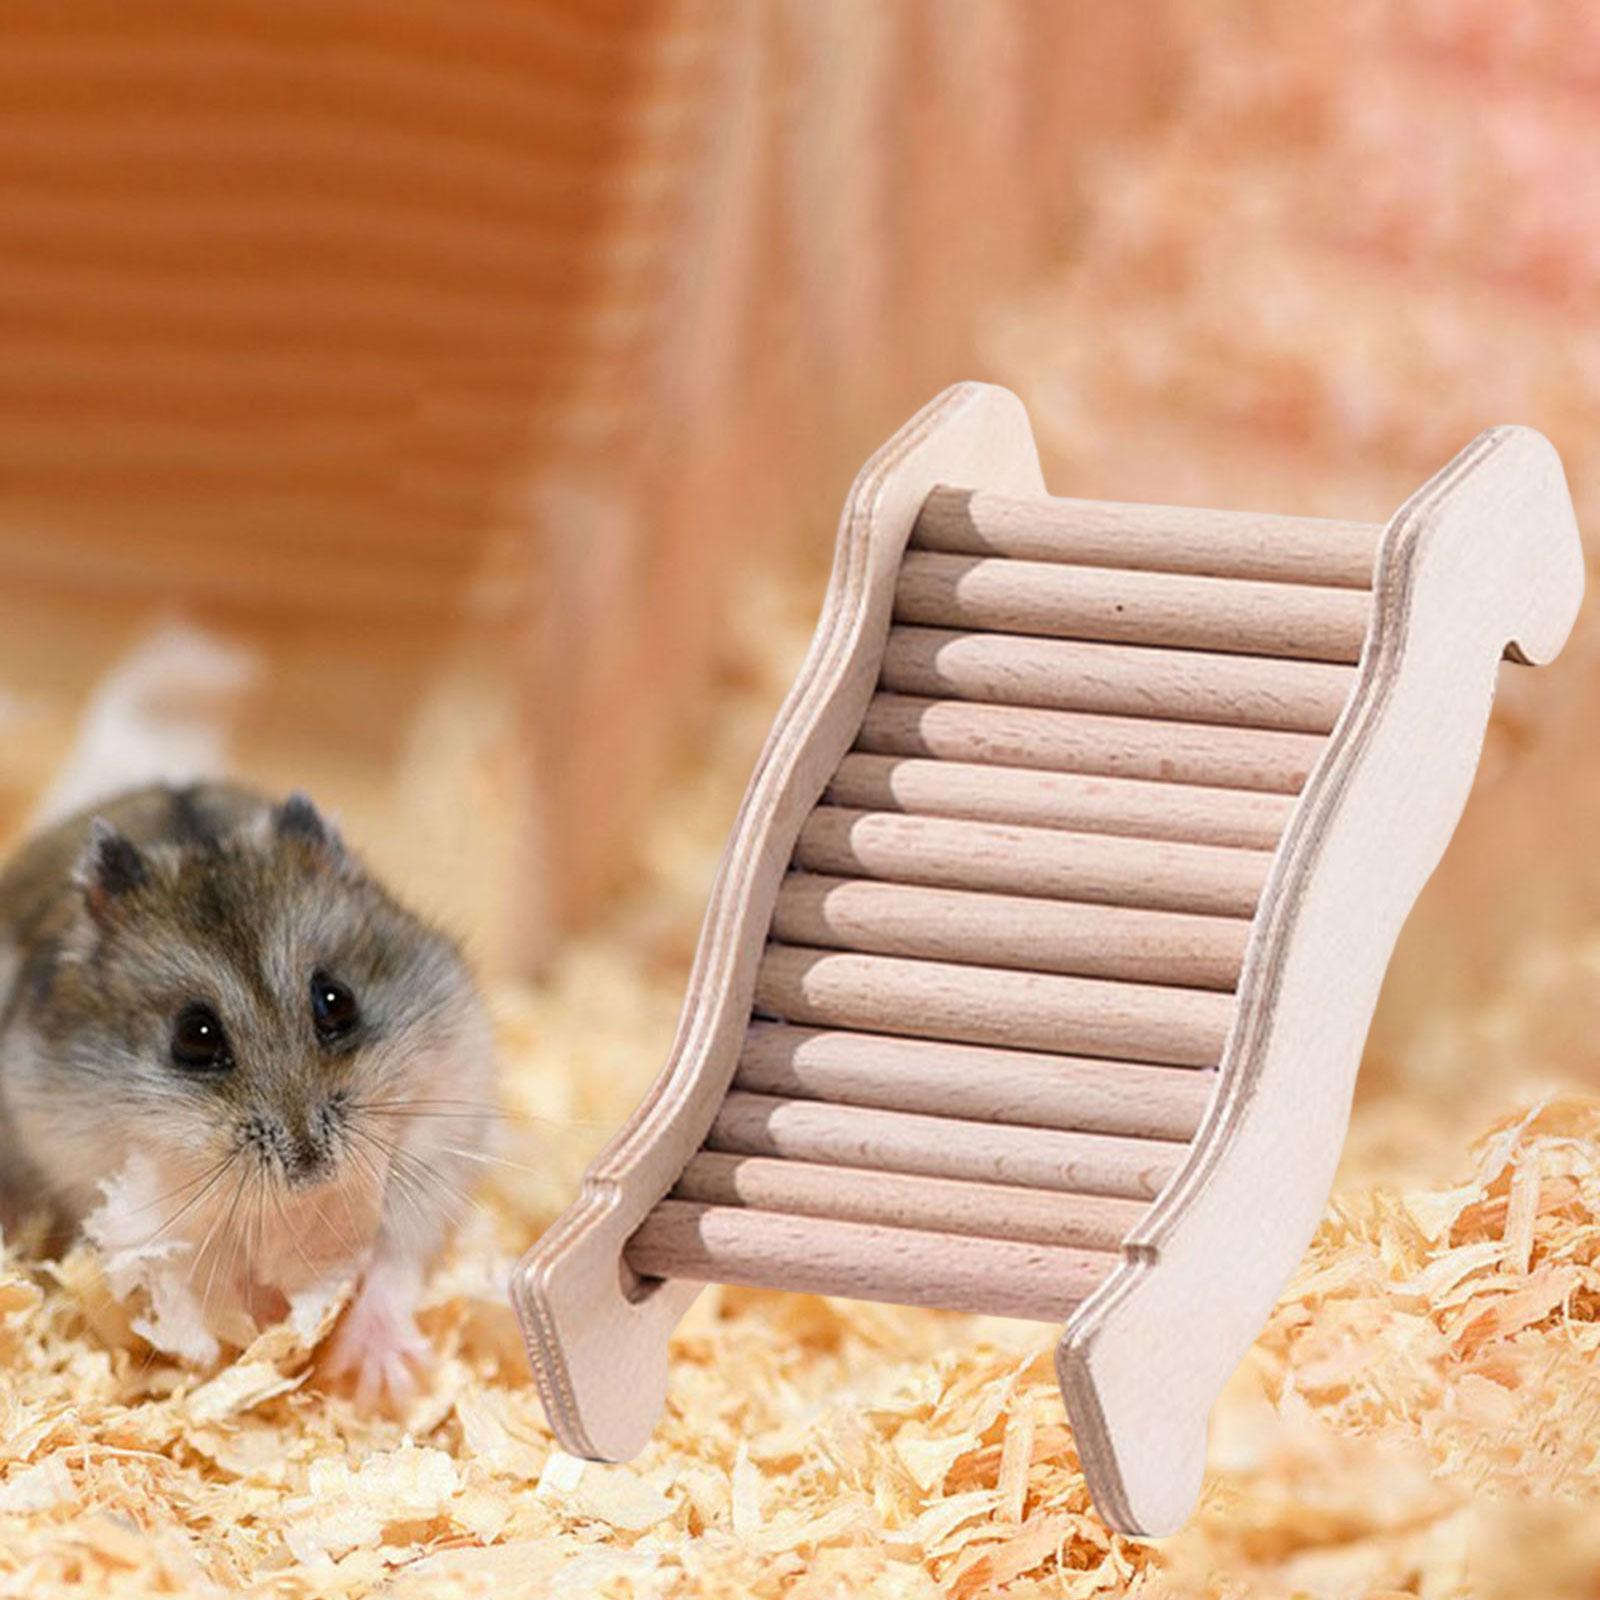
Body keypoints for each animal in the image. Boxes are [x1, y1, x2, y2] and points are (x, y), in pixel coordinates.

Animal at [0, 781, 494, 1406]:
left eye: (337, 1001)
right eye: (195, 1035)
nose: (311, 1167)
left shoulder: (437, 1144)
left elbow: (393, 1259)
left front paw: (383, 1385)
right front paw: (266, 1325)